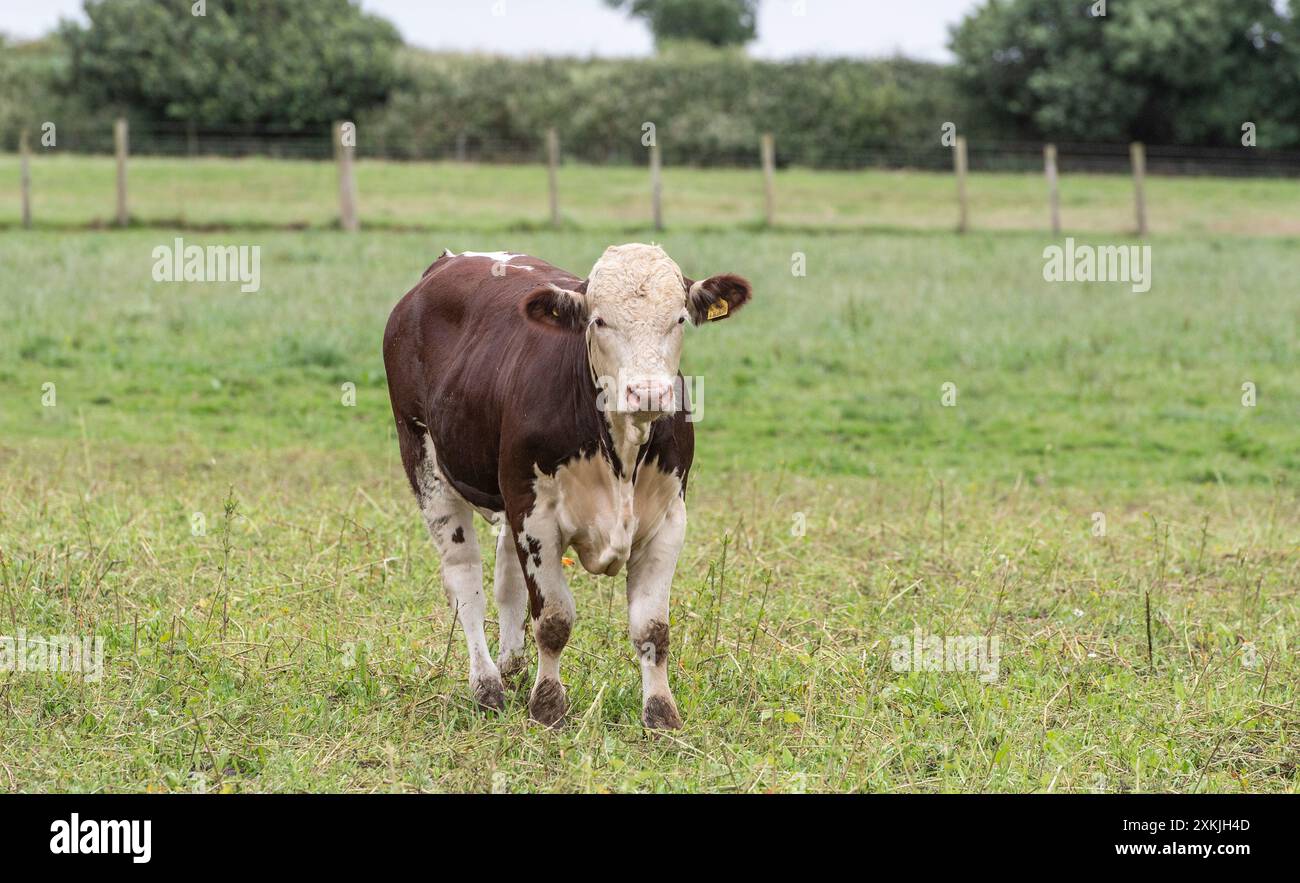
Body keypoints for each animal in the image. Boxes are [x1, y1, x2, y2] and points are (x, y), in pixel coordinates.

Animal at [383, 243, 752, 729]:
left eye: (678, 319)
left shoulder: (669, 518)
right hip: (425, 460)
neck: (621, 454)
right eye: (599, 321)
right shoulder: (535, 517)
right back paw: (487, 685)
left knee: (505, 577)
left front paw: (660, 714)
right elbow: (554, 619)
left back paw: (513, 666)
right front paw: (548, 706)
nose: (648, 393)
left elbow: (653, 628)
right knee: (465, 581)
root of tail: (448, 260)